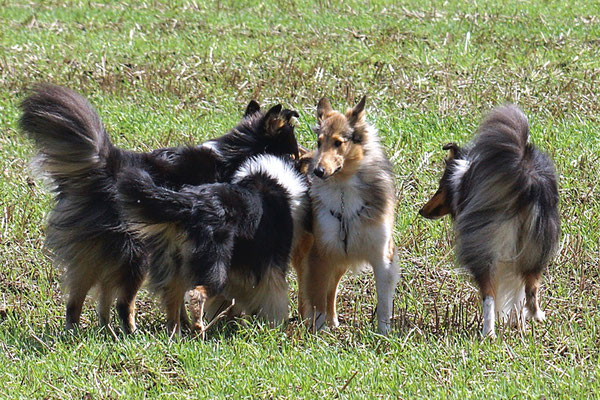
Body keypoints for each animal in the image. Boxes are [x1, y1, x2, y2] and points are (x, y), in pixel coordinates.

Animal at [116, 153, 310, 334]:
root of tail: (190, 205)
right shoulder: (272, 266)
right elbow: (274, 297)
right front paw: (274, 326)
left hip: (173, 265)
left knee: (172, 300)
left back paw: (176, 334)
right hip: (215, 267)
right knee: (196, 294)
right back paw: (198, 330)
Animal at [294, 97, 400, 334]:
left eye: (338, 142)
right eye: (319, 142)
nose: (318, 171)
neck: (344, 188)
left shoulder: (382, 256)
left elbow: (384, 304)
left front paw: (384, 334)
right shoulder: (319, 253)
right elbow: (316, 299)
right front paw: (317, 333)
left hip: (339, 256)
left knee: (331, 288)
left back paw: (333, 321)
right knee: (306, 289)